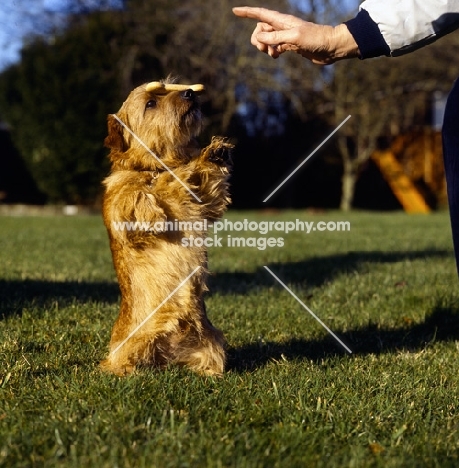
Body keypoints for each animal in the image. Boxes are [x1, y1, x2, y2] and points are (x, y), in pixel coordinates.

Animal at [99, 77, 232, 376]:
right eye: (150, 103)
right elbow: (132, 193)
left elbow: (207, 186)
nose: (190, 93)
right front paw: (154, 212)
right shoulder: (119, 204)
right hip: (126, 348)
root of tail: (166, 357)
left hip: (211, 342)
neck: (162, 165)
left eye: (173, 88)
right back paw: (126, 371)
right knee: (117, 364)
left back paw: (211, 374)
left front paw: (214, 153)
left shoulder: (203, 202)